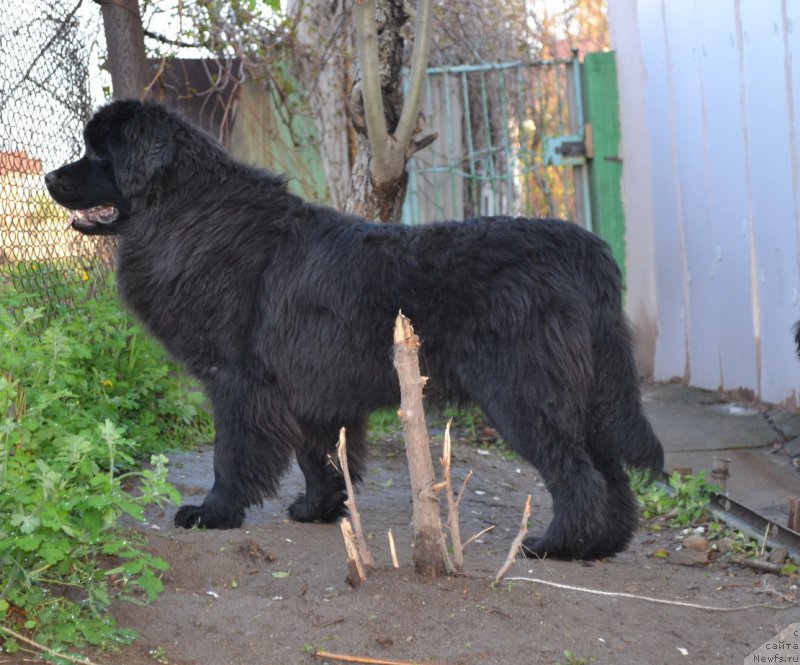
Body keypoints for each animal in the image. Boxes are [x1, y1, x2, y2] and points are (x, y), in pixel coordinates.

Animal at [43, 101, 664, 560]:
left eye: (99, 152)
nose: (48, 175)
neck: (185, 214)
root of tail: (581, 246)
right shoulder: (311, 386)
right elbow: (319, 456)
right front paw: (319, 510)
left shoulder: (238, 382)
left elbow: (232, 456)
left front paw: (212, 513)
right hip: (587, 398)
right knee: (612, 476)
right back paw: (602, 546)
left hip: (524, 395)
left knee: (578, 477)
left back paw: (556, 546)